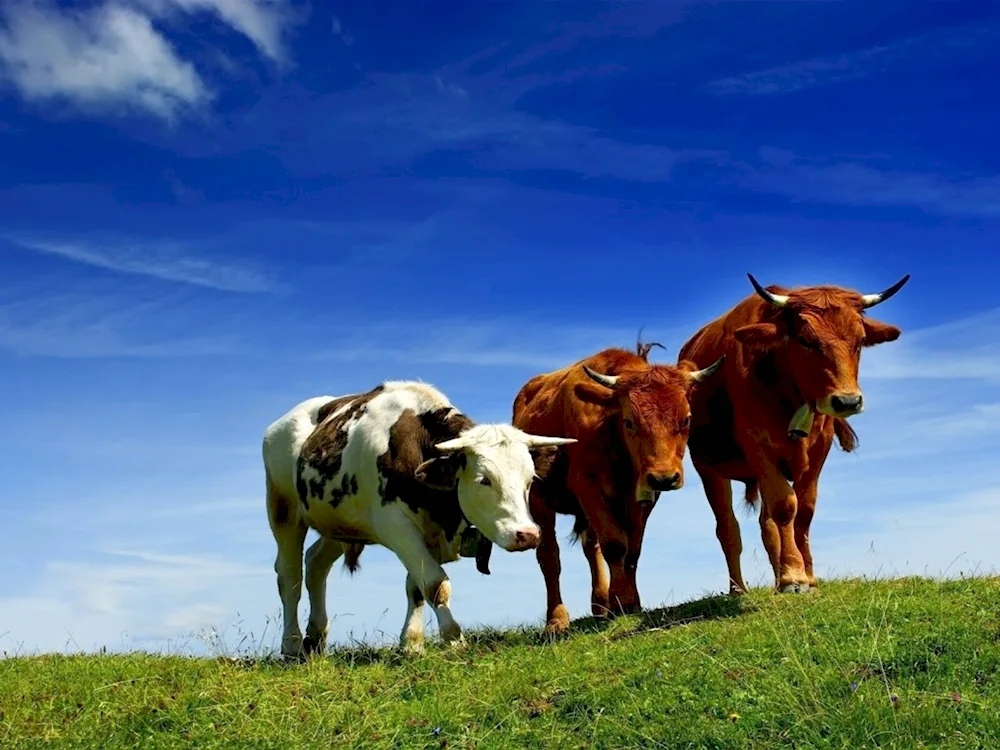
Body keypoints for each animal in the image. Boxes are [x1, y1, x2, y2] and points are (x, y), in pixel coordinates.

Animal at [262, 382, 576, 656]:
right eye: (484, 480)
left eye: (530, 479)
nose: (528, 534)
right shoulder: (396, 527)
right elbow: (436, 584)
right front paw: (453, 638)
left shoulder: (428, 533)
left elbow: (415, 587)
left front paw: (412, 643)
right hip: (283, 509)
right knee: (289, 576)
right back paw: (291, 644)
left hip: (339, 523)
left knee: (315, 564)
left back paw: (315, 638)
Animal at [516, 342, 728, 636]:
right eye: (629, 421)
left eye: (686, 419)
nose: (665, 477)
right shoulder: (586, 483)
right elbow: (616, 545)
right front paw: (619, 601)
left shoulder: (644, 495)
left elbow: (632, 549)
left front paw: (629, 601)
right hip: (539, 501)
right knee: (550, 558)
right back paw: (557, 619)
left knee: (590, 548)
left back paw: (600, 605)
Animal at [680, 274, 908, 596]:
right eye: (805, 340)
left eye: (860, 341)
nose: (848, 401)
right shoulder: (756, 443)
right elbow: (785, 506)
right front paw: (793, 577)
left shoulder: (819, 448)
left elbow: (804, 511)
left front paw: (807, 576)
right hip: (709, 468)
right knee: (727, 527)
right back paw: (739, 588)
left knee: (766, 525)